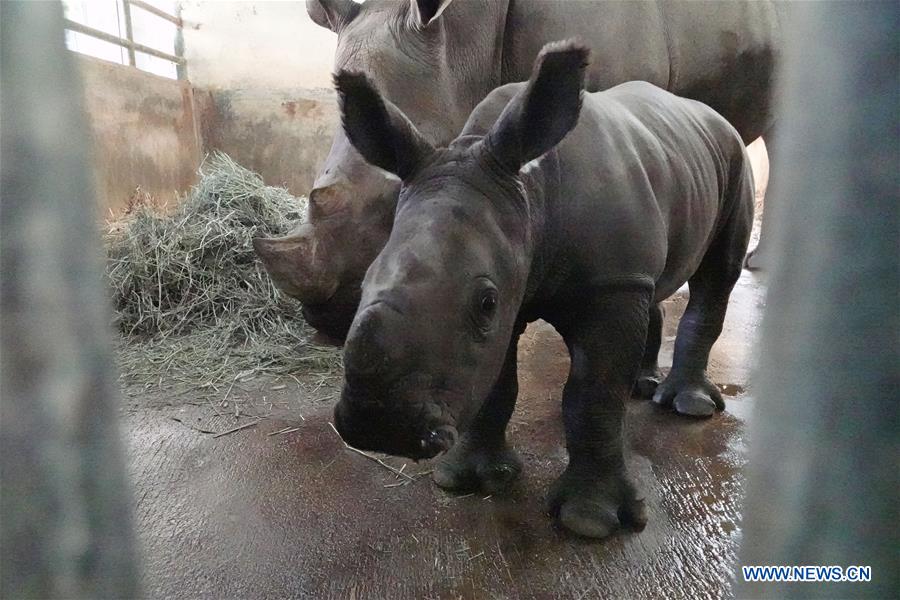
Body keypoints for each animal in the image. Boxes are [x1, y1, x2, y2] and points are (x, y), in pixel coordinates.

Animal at [330, 41, 754, 538]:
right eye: (363, 282)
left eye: (486, 302)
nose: (378, 427)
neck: (528, 193)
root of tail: (710, 115)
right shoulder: (536, 278)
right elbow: (497, 381)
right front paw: (473, 479)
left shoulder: (607, 285)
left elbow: (594, 394)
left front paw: (590, 521)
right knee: (654, 288)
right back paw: (642, 387)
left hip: (733, 156)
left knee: (717, 276)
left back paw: (688, 407)